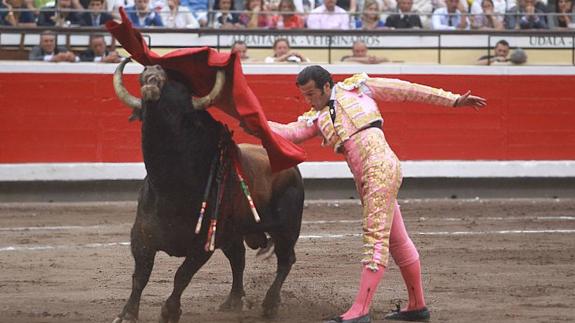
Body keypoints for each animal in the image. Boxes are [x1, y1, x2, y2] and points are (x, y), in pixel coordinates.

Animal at [109, 58, 304, 323]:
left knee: (285, 260)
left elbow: (182, 275)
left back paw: (270, 304)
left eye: (181, 87)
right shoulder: (141, 237)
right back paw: (233, 301)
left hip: (287, 228)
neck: (170, 187)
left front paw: (170, 311)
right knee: (239, 259)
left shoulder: (203, 244)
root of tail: (292, 167)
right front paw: (127, 313)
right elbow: (140, 277)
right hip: (233, 233)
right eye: (141, 78)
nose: (153, 70)